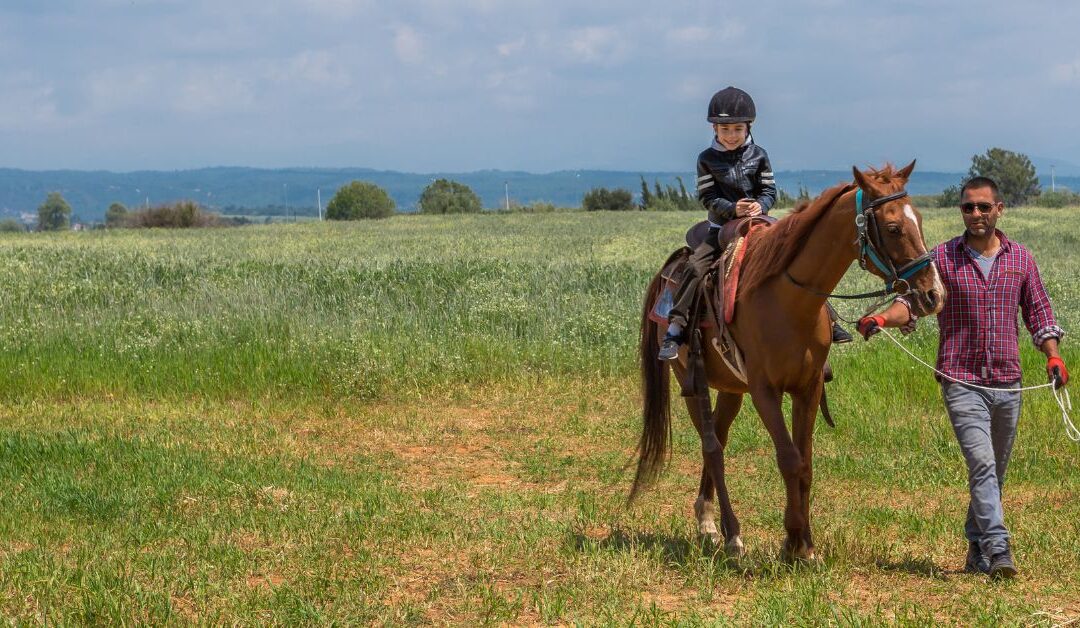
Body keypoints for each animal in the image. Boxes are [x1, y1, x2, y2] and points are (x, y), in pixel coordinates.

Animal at [630, 159, 946, 557]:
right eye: (893, 228)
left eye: (917, 219)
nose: (933, 294)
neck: (789, 300)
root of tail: (669, 271)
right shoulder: (765, 391)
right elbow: (789, 459)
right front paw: (794, 541)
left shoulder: (807, 388)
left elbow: (805, 463)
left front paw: (803, 543)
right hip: (690, 381)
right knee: (712, 447)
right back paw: (730, 533)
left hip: (731, 389)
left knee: (718, 439)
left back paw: (708, 519)